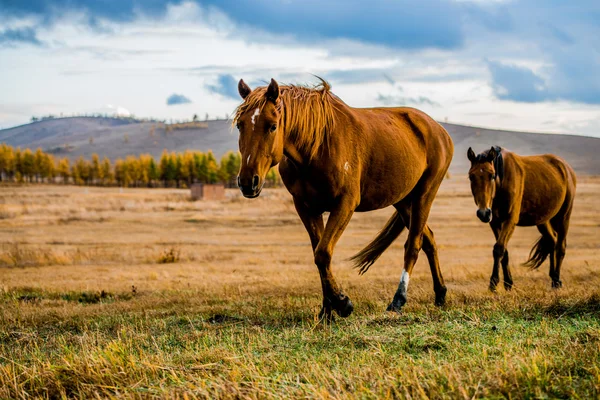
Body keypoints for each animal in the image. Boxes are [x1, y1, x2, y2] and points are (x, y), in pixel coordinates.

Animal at [232, 76, 452, 318]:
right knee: (428, 240)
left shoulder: (345, 204)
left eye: (272, 126)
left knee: (413, 244)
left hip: (424, 193)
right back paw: (440, 294)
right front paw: (327, 309)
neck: (317, 147)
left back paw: (398, 300)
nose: (247, 182)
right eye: (240, 125)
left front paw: (342, 303)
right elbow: (318, 253)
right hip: (403, 201)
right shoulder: (306, 207)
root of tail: (438, 130)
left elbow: (323, 253)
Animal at [468, 145, 576, 290]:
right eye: (471, 176)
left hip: (564, 217)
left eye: (492, 175)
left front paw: (493, 282)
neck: (502, 181)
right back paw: (554, 279)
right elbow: (504, 251)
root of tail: (566, 167)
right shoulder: (495, 222)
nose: (483, 213)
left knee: (560, 247)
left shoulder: (510, 220)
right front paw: (508, 283)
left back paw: (557, 280)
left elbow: (499, 248)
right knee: (552, 242)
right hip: (543, 221)